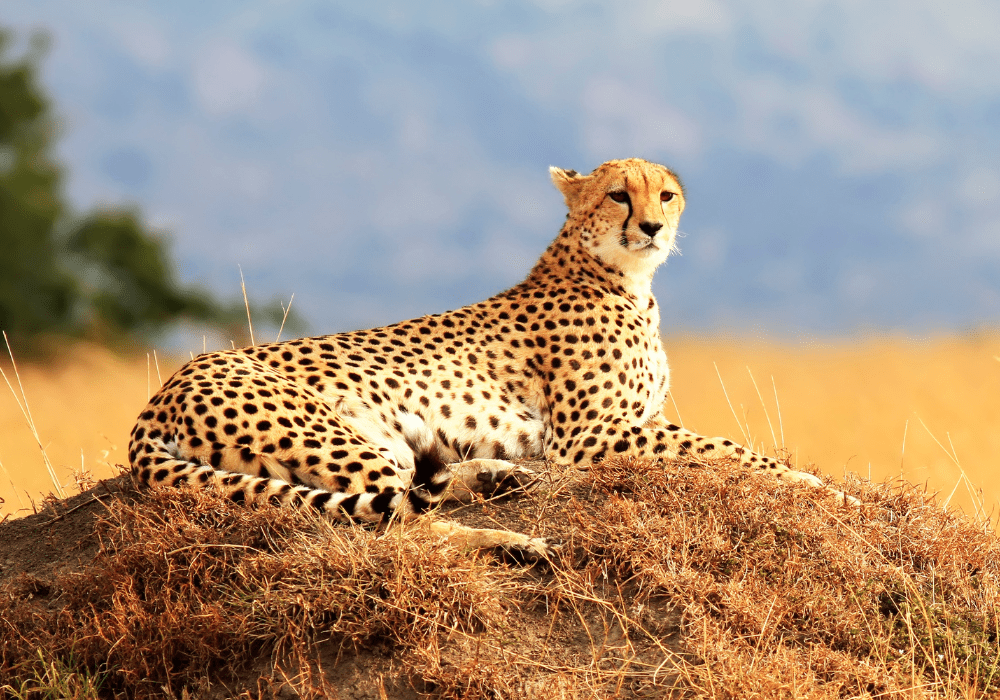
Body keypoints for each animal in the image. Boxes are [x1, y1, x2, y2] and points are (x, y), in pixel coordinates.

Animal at [128, 157, 855, 558]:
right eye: (619, 195)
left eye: (665, 195)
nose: (652, 226)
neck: (623, 277)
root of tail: (160, 394)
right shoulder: (592, 437)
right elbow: (730, 449)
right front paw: (825, 489)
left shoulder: (622, 428)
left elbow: (723, 447)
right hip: (338, 437)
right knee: (395, 525)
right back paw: (516, 542)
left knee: (410, 499)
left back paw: (500, 481)